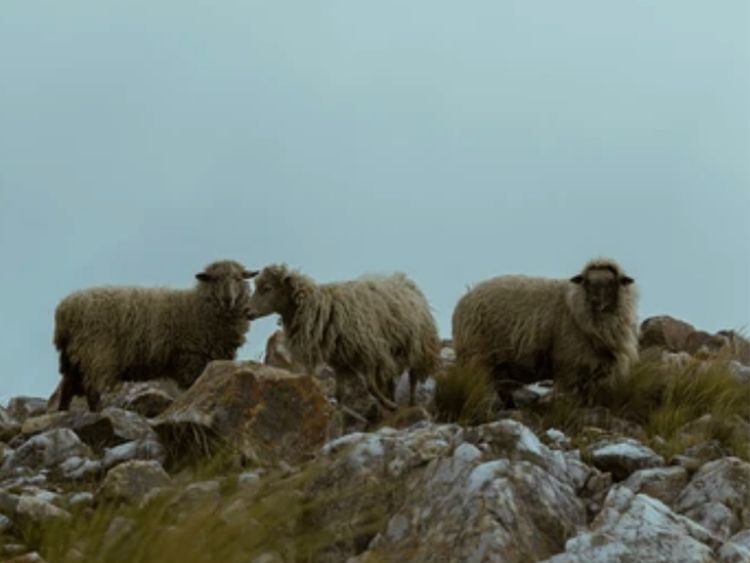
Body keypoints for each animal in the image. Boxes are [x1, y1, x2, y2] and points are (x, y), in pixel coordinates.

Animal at [53, 258, 258, 410]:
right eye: (214, 279)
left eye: (239, 278)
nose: (228, 299)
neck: (198, 306)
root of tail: (65, 310)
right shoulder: (192, 359)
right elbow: (192, 388)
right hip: (97, 355)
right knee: (93, 392)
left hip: (75, 359)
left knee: (67, 390)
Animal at [244, 264, 444, 410]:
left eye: (267, 288)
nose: (246, 311)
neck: (321, 307)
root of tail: (406, 281)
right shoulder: (340, 360)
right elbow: (339, 393)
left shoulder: (370, 351)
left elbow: (370, 386)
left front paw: (390, 406)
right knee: (392, 380)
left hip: (418, 345)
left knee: (413, 378)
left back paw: (411, 403)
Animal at [452, 258, 640, 404]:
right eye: (586, 282)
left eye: (611, 284)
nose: (594, 302)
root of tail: (465, 298)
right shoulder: (569, 364)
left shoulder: (593, 369)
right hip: (477, 356)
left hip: (499, 363)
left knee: (503, 388)